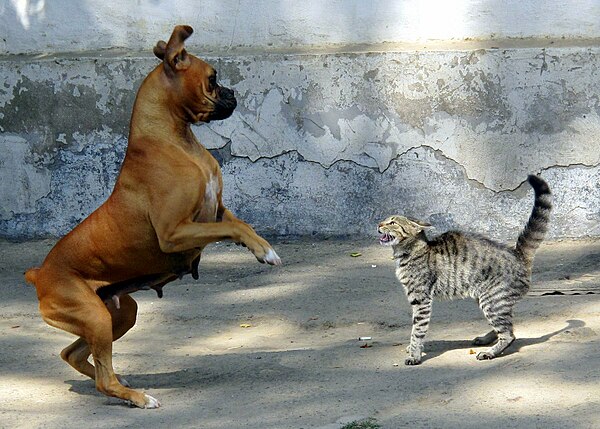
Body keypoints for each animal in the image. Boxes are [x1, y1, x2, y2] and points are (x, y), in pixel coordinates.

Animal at [24, 25, 282, 408]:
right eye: (213, 78)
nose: (233, 92)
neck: (174, 140)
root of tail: (38, 273)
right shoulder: (174, 232)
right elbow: (233, 229)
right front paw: (265, 252)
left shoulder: (216, 210)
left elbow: (240, 223)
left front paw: (261, 246)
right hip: (95, 316)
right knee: (102, 376)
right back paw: (137, 397)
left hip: (117, 313)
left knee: (74, 355)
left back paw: (121, 382)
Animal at [380, 174, 552, 364]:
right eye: (386, 221)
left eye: (392, 222)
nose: (379, 224)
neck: (409, 252)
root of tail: (518, 254)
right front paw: (412, 349)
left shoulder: (421, 299)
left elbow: (417, 330)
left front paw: (414, 354)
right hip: (488, 299)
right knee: (507, 325)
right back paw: (485, 339)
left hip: (491, 301)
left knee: (508, 334)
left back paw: (490, 352)